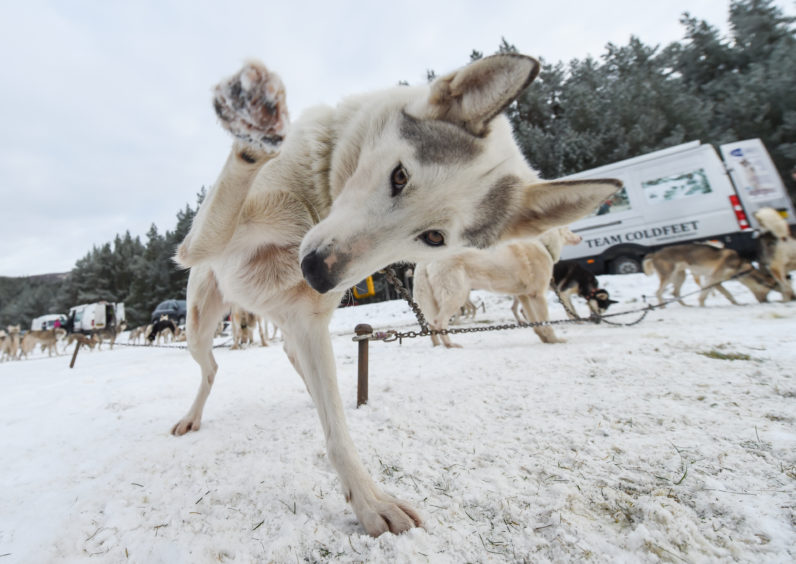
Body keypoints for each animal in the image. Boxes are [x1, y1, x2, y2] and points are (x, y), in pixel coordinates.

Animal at [171, 55, 620, 536]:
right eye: (400, 176)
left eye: (434, 237)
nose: (316, 273)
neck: (314, 197)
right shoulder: (200, 242)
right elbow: (243, 176)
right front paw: (258, 122)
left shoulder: (309, 320)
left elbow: (338, 434)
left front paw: (370, 502)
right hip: (199, 326)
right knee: (212, 369)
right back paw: (192, 416)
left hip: (288, 329)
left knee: (293, 367)